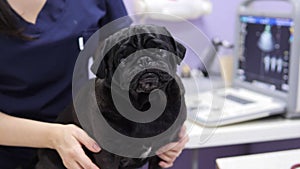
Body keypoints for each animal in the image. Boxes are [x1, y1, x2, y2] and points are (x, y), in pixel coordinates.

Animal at [35, 25, 188, 169]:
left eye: (160, 50)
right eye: (122, 58)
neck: (145, 105)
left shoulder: (162, 151)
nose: (144, 59)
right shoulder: (108, 156)